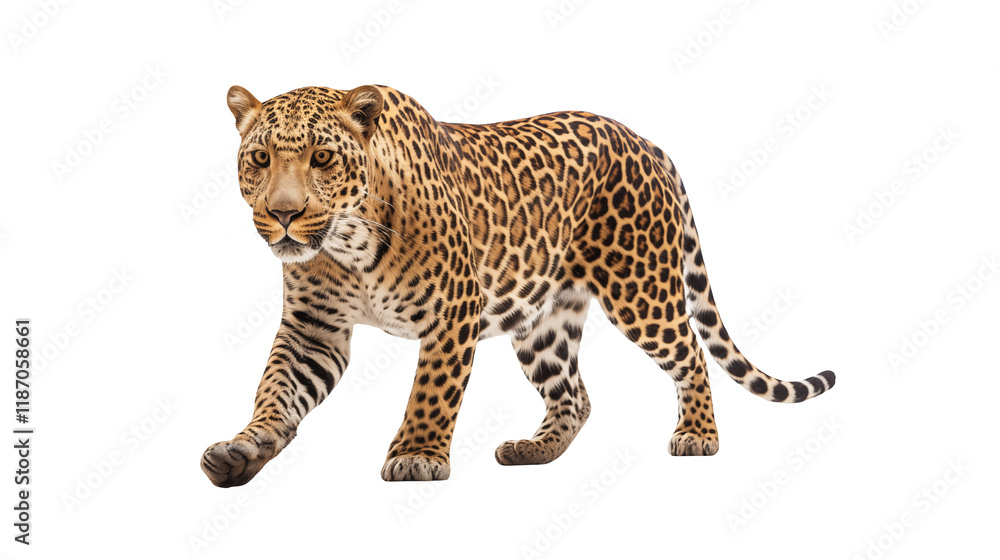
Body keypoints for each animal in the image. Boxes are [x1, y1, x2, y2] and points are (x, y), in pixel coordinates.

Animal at [200, 84, 836, 485]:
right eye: (260, 158)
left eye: (324, 158)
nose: (283, 213)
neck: (347, 244)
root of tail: (649, 144)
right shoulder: (315, 329)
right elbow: (276, 389)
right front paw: (245, 447)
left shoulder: (453, 311)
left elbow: (431, 391)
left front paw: (417, 455)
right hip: (543, 320)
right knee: (574, 396)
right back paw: (532, 451)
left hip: (641, 288)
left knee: (691, 355)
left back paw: (698, 435)